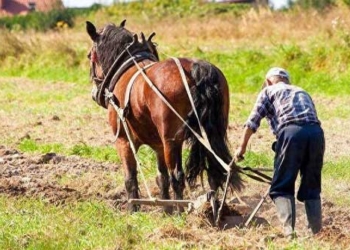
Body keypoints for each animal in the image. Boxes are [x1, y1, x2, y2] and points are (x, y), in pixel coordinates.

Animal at [86, 20, 242, 213]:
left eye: (89, 56)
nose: (95, 93)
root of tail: (196, 70)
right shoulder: (158, 145)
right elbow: (162, 177)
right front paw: (165, 210)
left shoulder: (123, 140)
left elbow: (130, 178)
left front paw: (133, 209)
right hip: (211, 134)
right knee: (213, 169)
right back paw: (215, 208)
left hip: (171, 141)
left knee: (177, 176)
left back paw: (181, 211)